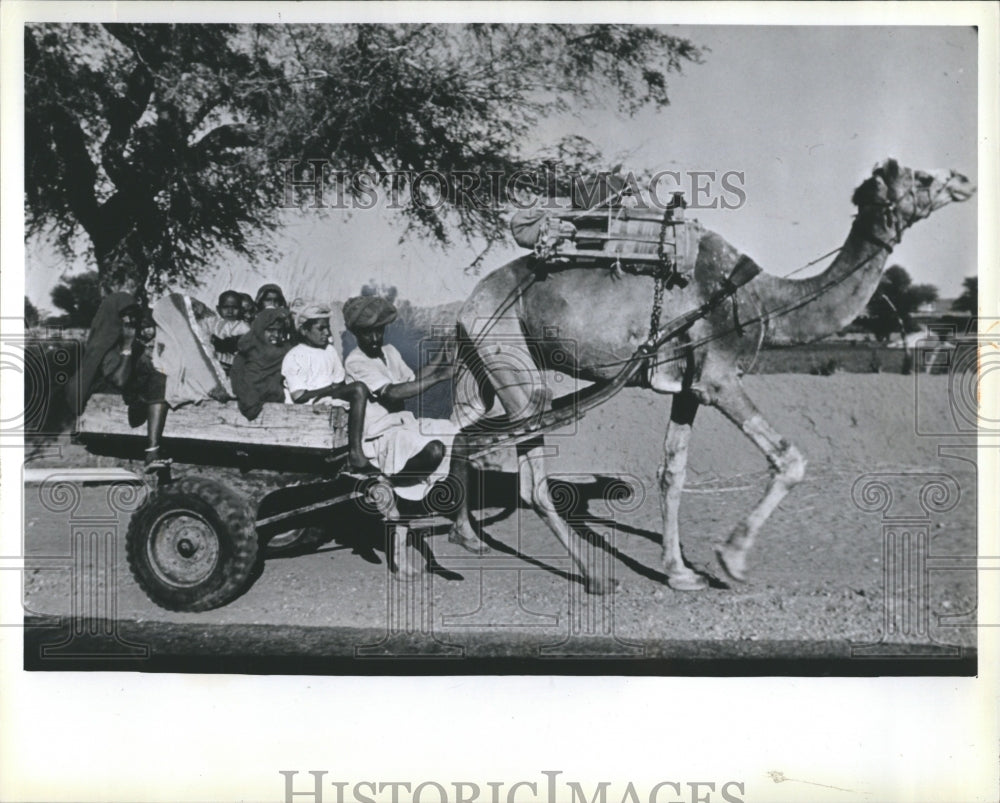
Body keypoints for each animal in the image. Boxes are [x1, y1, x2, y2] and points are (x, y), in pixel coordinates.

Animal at [448, 160, 976, 592]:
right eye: (921, 178)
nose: (964, 180)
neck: (764, 300)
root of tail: (467, 302)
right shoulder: (720, 379)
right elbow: (789, 460)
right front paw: (732, 560)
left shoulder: (689, 387)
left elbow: (672, 472)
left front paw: (680, 572)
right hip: (513, 361)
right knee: (529, 478)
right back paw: (595, 577)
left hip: (486, 370)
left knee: (462, 432)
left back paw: (467, 536)